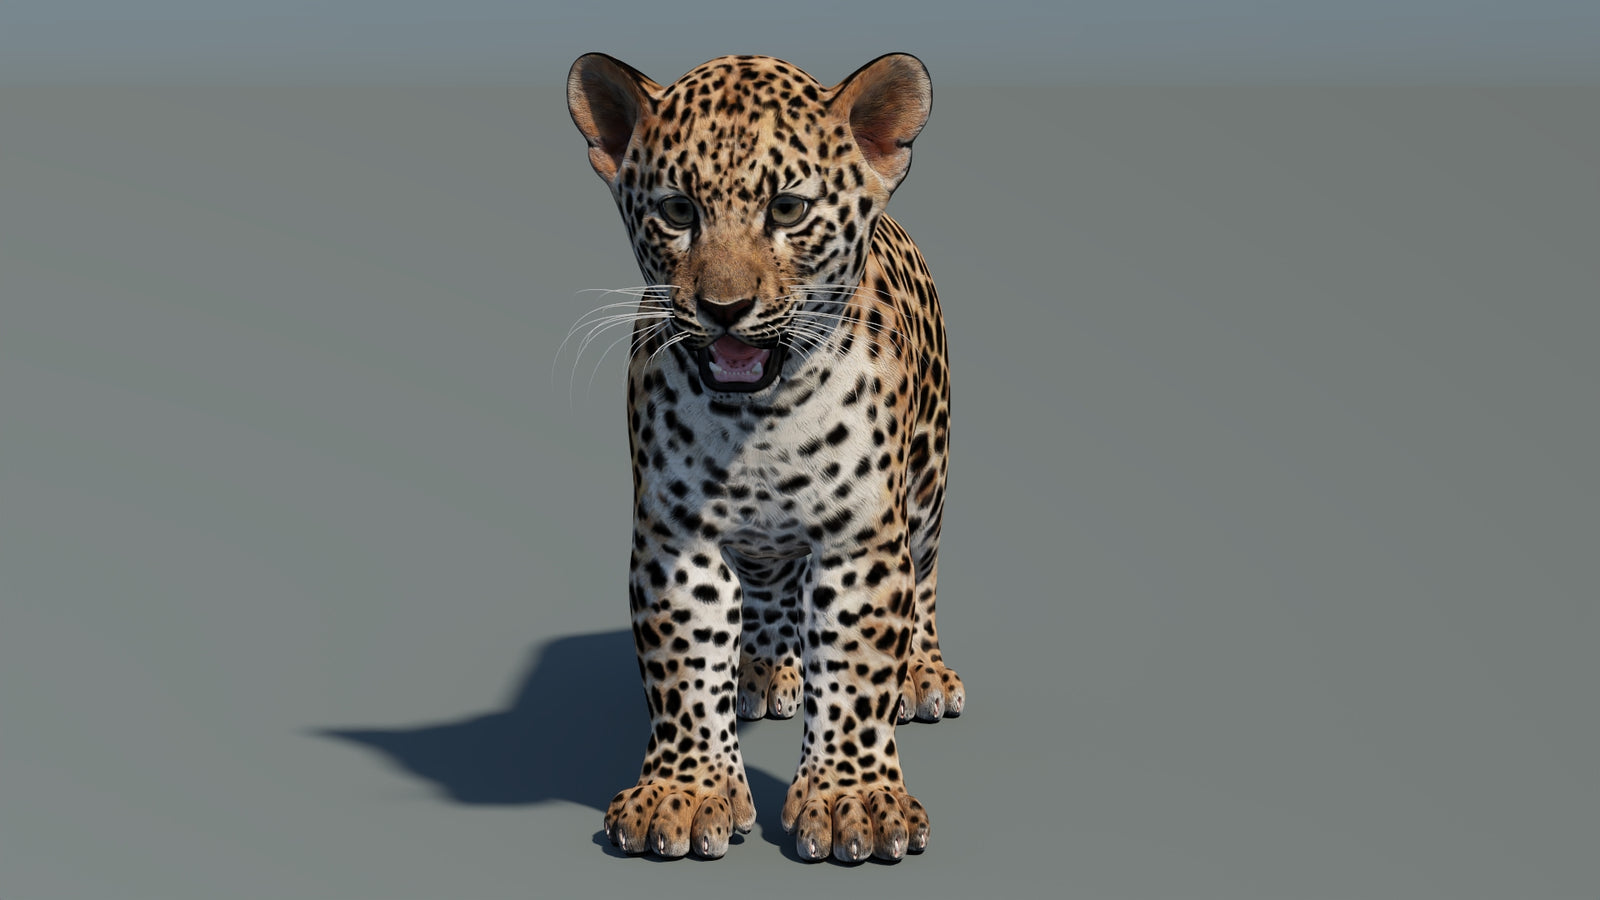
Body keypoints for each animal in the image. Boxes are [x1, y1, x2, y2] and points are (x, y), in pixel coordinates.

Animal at [566, 51, 963, 863]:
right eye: (678, 211)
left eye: (786, 210)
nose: (723, 310)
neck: (761, 419)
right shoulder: (677, 538)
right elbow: (684, 661)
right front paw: (685, 793)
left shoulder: (859, 540)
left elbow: (857, 664)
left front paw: (853, 800)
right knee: (774, 591)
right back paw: (766, 667)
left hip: (929, 478)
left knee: (927, 575)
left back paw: (923, 673)